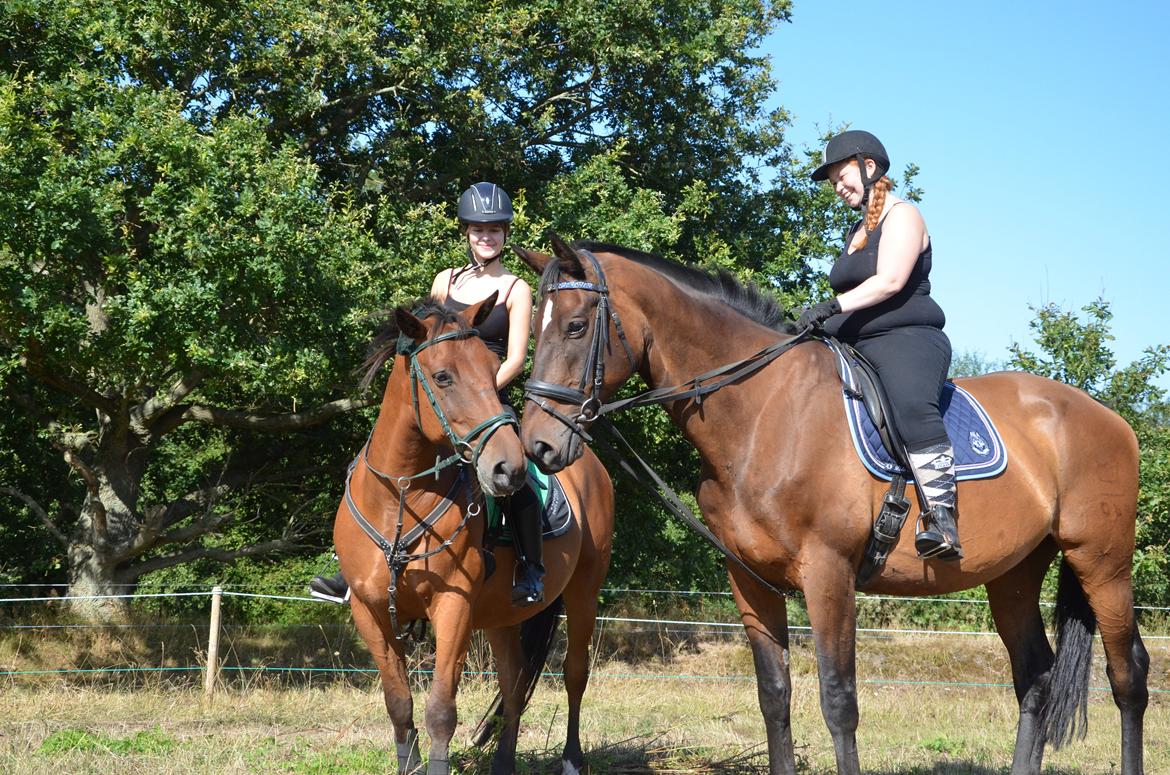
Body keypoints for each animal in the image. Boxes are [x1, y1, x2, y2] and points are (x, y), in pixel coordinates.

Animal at [332, 296, 613, 775]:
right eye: (443, 376)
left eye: (492, 367)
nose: (510, 467)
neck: (400, 497)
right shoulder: (369, 611)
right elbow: (399, 704)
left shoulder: (453, 606)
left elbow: (441, 711)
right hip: (503, 615)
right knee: (515, 682)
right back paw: (503, 763)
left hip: (583, 591)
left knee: (575, 674)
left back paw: (571, 760)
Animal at [514, 238, 1151, 775]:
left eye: (575, 326)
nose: (538, 445)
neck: (762, 411)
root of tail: (1108, 417)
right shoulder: (751, 581)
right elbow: (774, 697)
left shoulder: (829, 575)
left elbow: (838, 701)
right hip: (1014, 575)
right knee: (1035, 677)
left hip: (1102, 562)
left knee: (1129, 675)